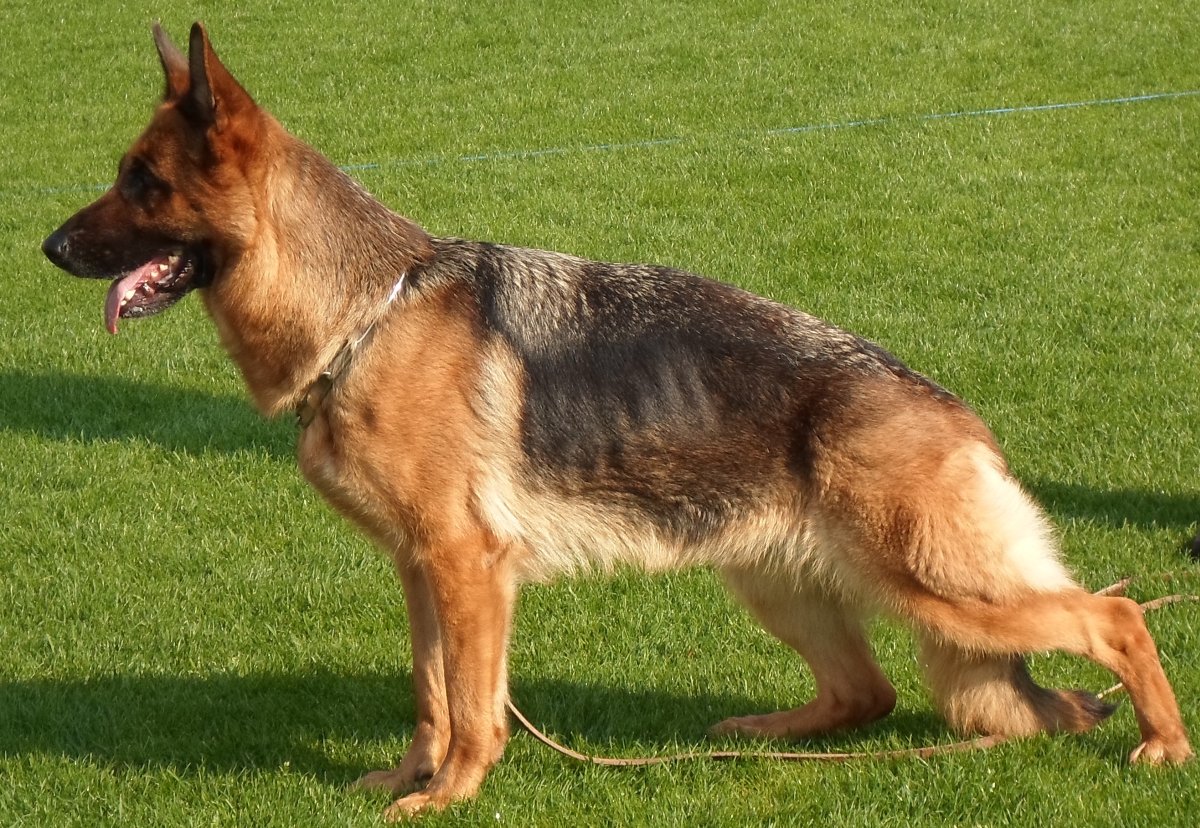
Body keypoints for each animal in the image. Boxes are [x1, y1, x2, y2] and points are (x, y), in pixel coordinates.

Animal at [42, 22, 1191, 818]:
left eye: (141, 184)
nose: (48, 247)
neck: (367, 313)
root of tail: (952, 411)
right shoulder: (421, 570)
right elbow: (431, 693)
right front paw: (408, 779)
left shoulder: (468, 569)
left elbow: (473, 707)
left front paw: (450, 797)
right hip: (778, 580)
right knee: (868, 693)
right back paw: (763, 730)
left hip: (938, 586)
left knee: (1114, 616)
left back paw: (1164, 744)